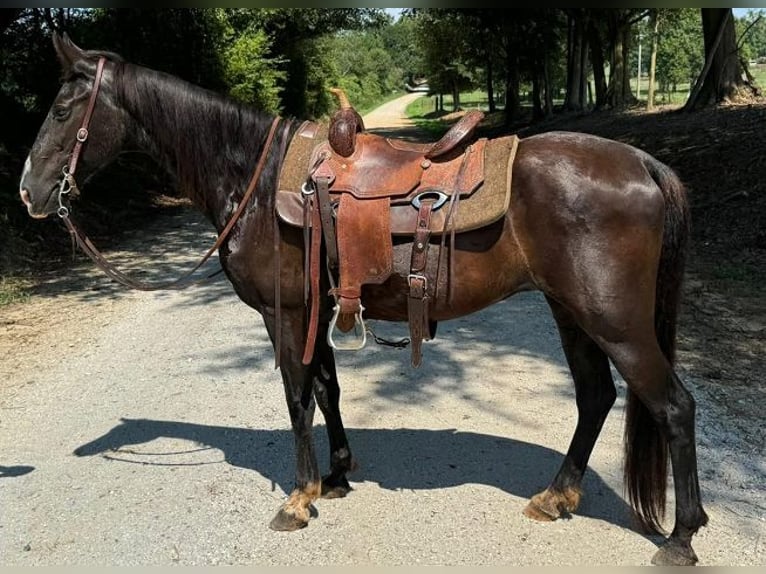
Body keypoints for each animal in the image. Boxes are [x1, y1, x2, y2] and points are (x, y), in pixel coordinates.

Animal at [19, 32, 708, 566]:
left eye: (62, 109)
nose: (28, 191)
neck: (254, 181)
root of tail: (643, 164)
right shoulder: (318, 311)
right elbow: (327, 389)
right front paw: (336, 476)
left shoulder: (285, 315)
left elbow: (297, 396)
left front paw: (298, 498)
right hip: (572, 313)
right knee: (595, 398)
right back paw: (557, 496)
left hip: (614, 320)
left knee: (673, 406)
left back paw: (680, 537)